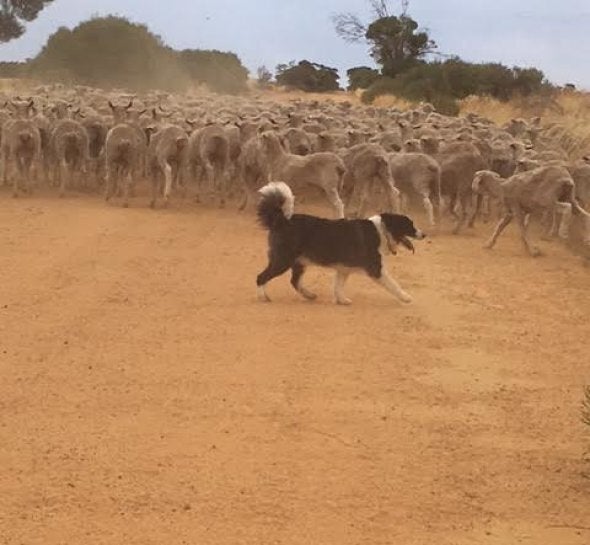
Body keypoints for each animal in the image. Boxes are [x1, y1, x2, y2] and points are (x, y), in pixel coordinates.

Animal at [256, 181, 428, 304]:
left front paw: (342, 300)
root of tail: (281, 220)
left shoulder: (343, 268)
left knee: (294, 281)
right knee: (261, 277)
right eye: (410, 225)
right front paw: (406, 297)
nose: (424, 234)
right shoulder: (376, 269)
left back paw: (310, 295)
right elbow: (393, 284)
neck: (382, 231)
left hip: (299, 262)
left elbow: (338, 286)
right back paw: (263, 297)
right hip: (282, 260)